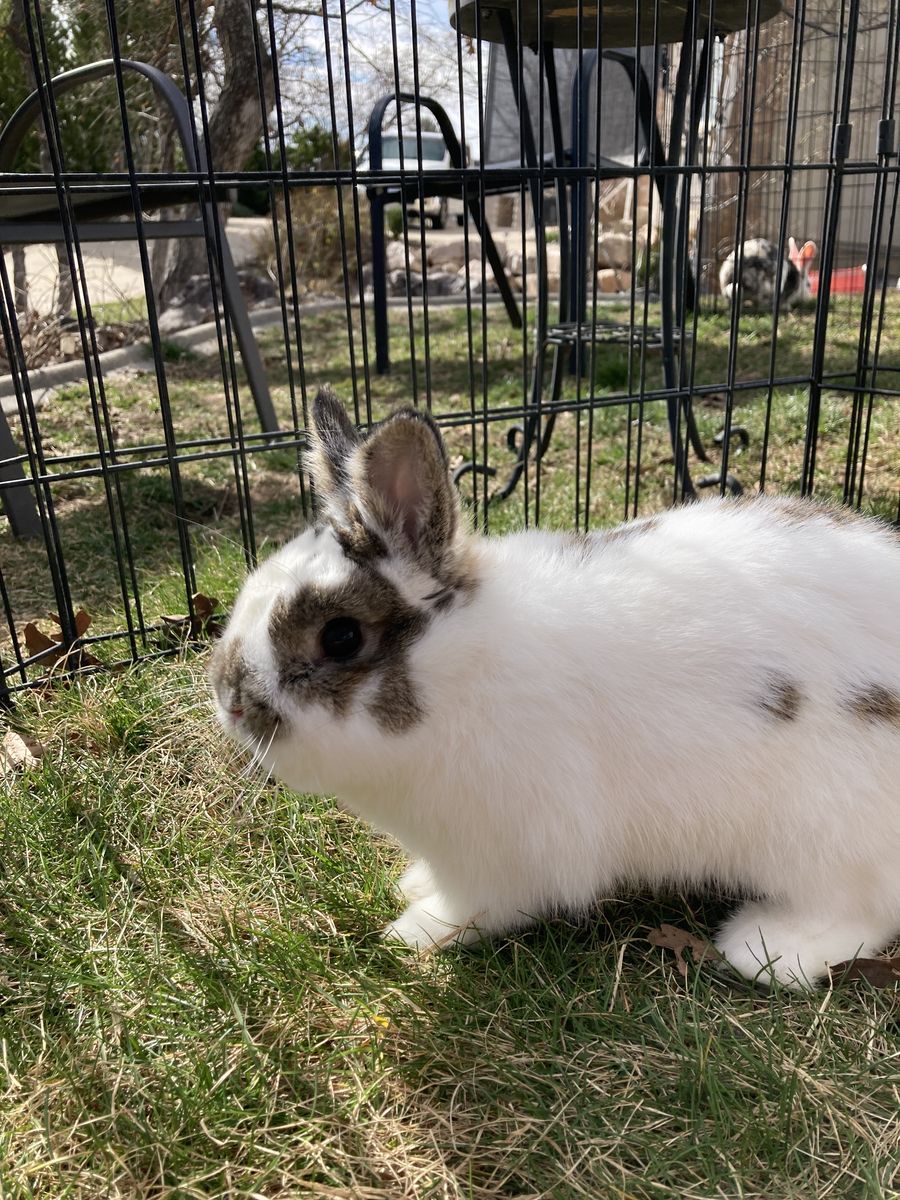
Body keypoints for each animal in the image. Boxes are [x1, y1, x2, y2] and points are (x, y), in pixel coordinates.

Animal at [210, 387, 900, 989]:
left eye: (342, 637)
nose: (232, 700)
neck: (462, 671)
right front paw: (412, 887)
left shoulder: (496, 860)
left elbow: (472, 906)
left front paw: (413, 932)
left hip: (820, 838)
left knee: (860, 913)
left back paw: (764, 947)